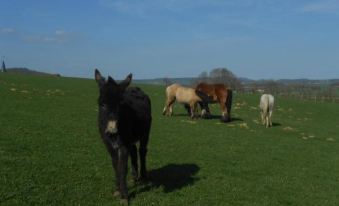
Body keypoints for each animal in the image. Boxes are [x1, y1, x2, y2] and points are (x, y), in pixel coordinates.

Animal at [93, 69, 151, 204]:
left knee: (142, 151)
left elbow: (122, 167)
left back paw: (143, 176)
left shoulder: (123, 144)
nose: (112, 130)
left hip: (145, 133)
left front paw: (124, 196)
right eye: (102, 104)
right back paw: (134, 176)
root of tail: (135, 88)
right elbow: (115, 166)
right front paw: (117, 189)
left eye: (120, 104)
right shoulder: (108, 144)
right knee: (134, 151)